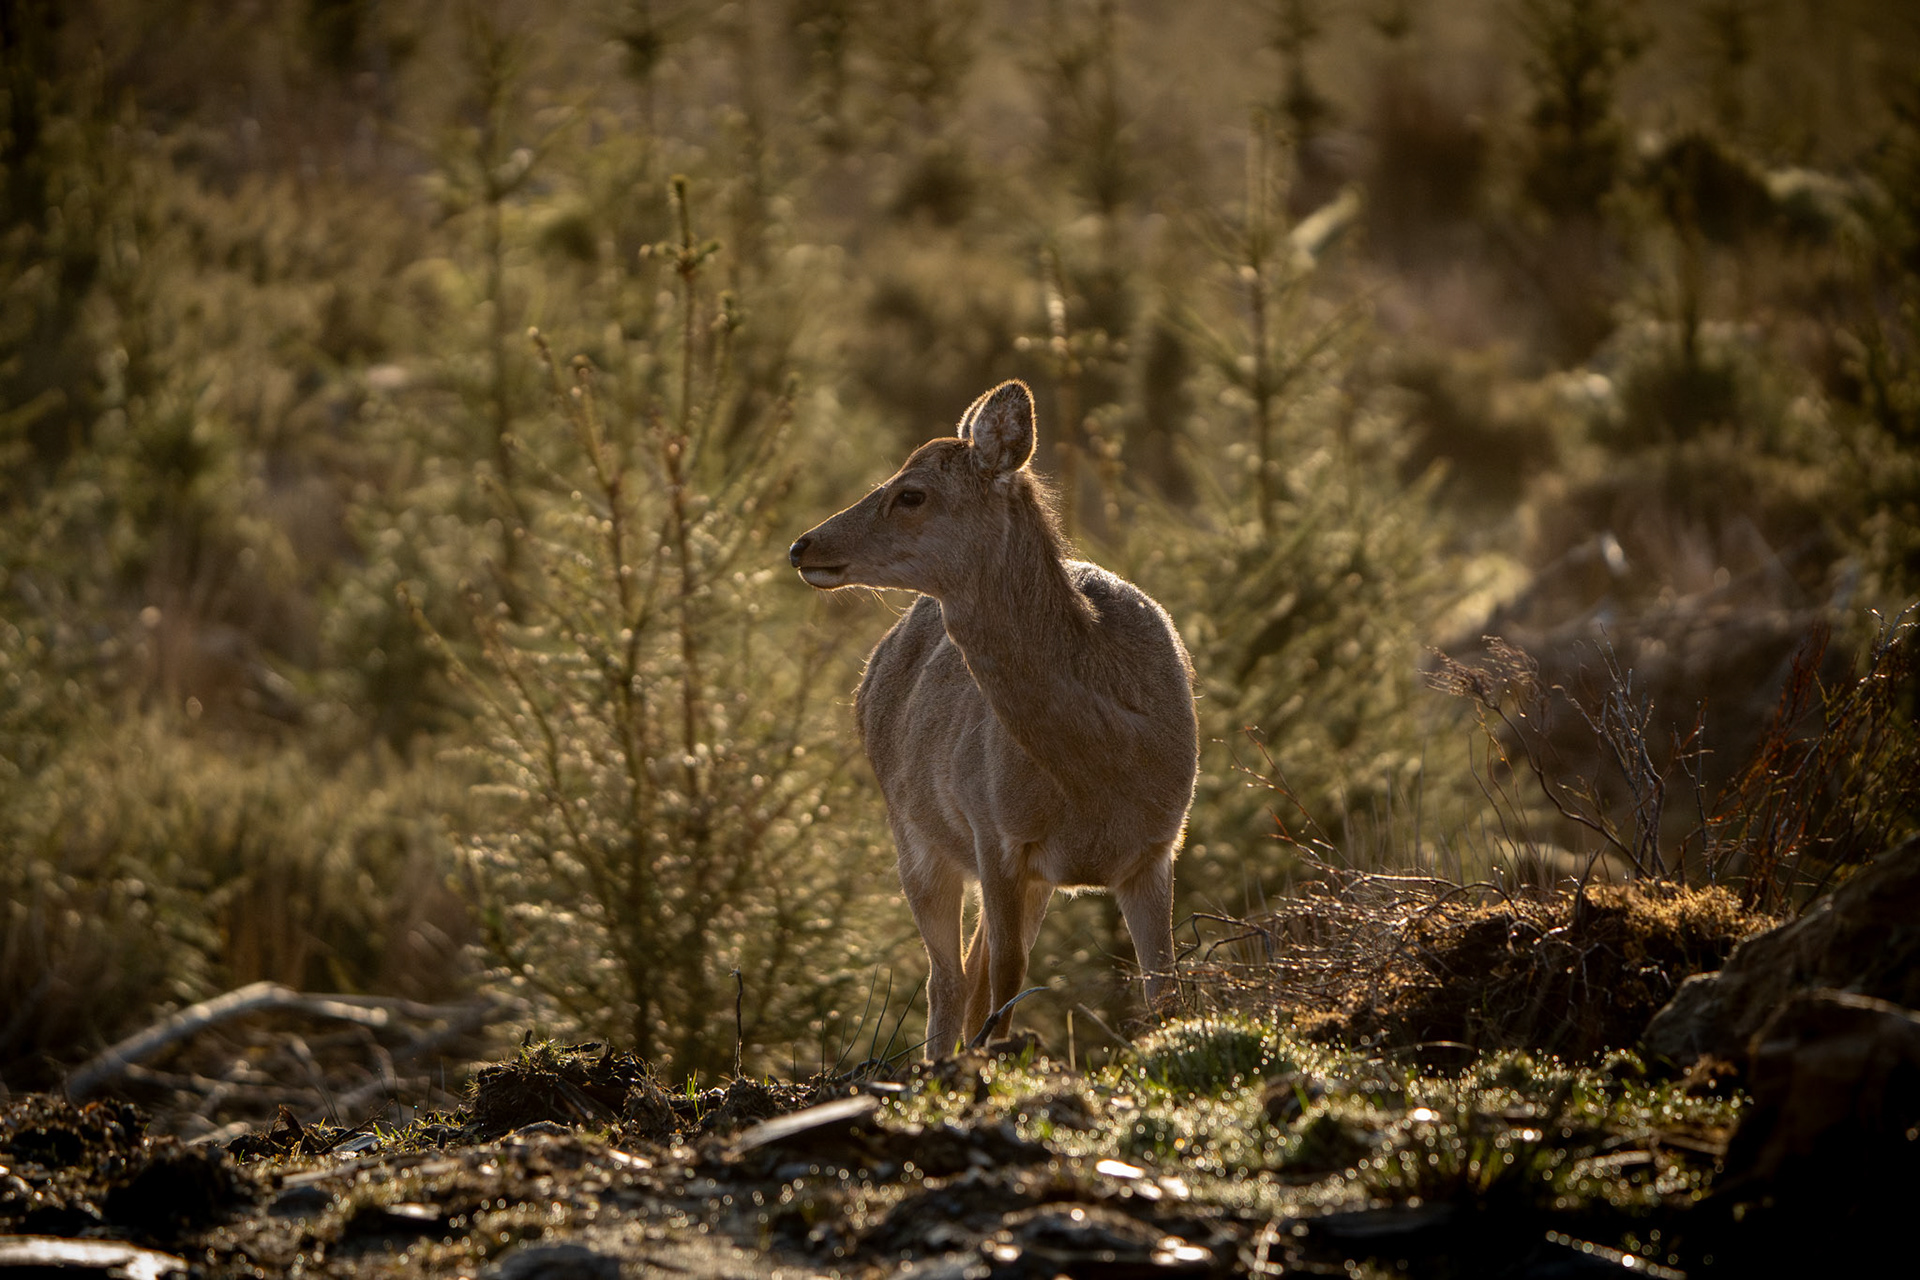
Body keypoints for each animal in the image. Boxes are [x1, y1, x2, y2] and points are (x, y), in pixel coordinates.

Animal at [788, 380, 1199, 1058]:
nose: (802, 545)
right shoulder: (995, 831)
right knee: (948, 979)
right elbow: (1006, 979)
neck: (1104, 766)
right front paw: (994, 1057)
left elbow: (1165, 992)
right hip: (914, 833)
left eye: (911, 493)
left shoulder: (1157, 847)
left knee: (967, 969)